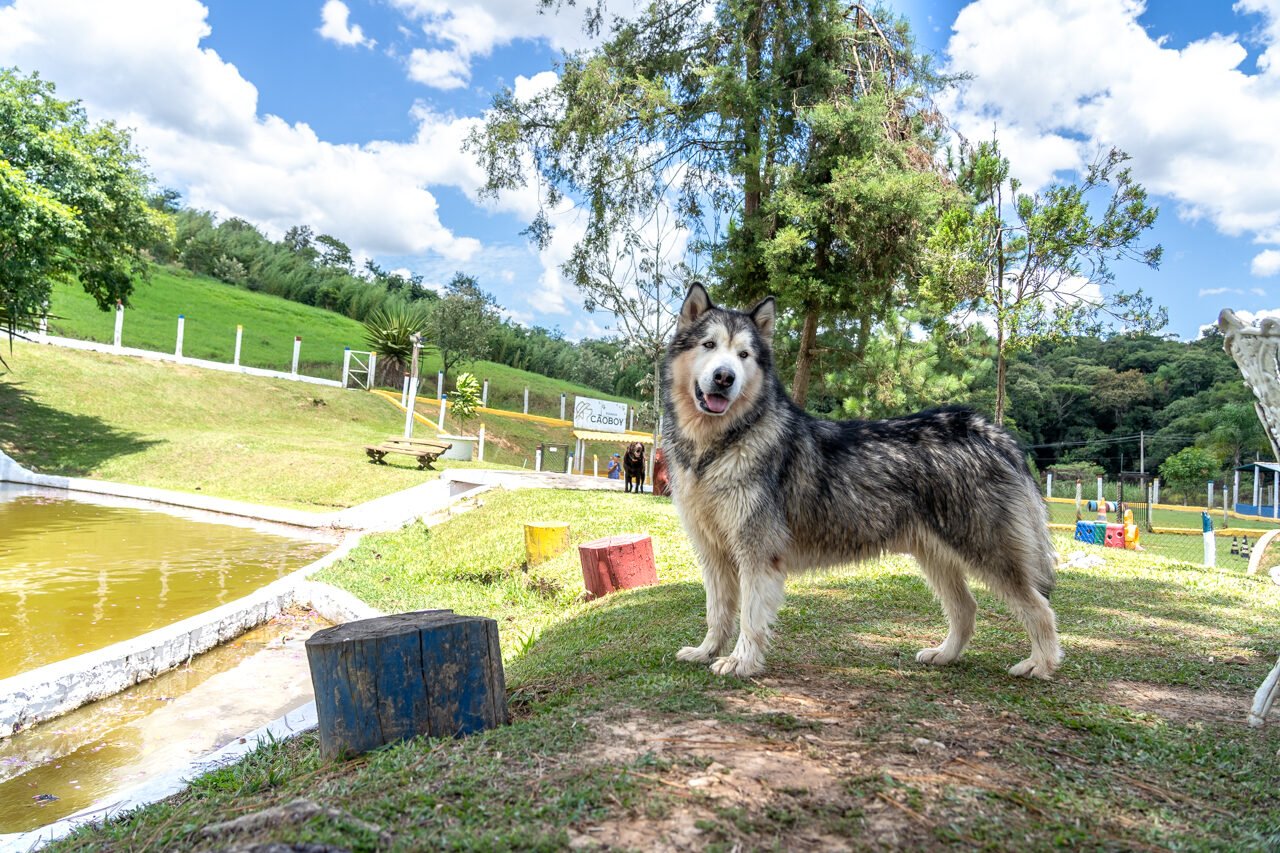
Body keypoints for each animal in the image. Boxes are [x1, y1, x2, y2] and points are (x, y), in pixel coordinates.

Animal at [660, 284, 1059, 676]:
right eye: (709, 345)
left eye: (743, 355)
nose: (724, 377)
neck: (719, 446)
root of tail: (989, 431)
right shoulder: (713, 555)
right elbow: (717, 614)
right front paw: (706, 651)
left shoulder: (758, 554)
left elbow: (750, 619)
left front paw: (741, 661)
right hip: (936, 557)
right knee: (966, 609)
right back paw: (945, 655)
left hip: (987, 554)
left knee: (1040, 608)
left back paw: (1040, 664)